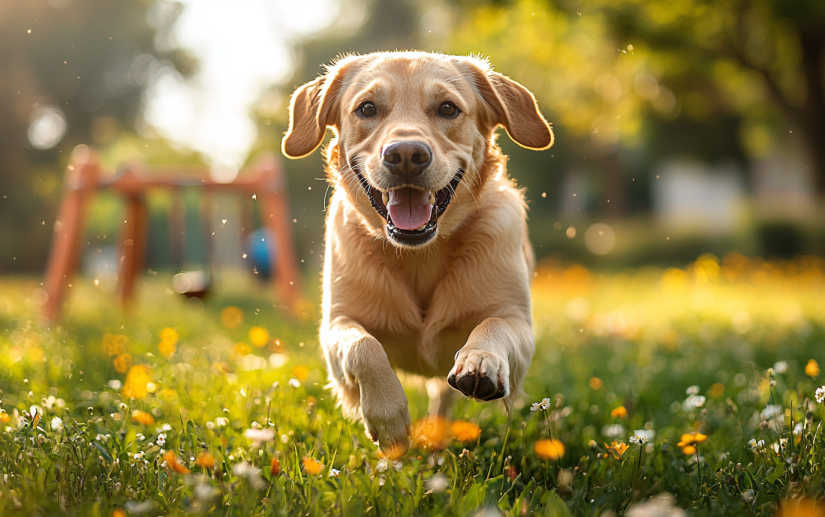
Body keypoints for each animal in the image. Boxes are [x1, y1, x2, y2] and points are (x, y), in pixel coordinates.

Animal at [282, 50, 552, 452]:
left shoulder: (519, 323)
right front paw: (388, 417)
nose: (406, 154)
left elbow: (495, 323)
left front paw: (481, 360)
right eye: (366, 108)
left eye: (448, 108)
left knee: (443, 395)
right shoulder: (336, 326)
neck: (419, 255)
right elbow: (363, 345)